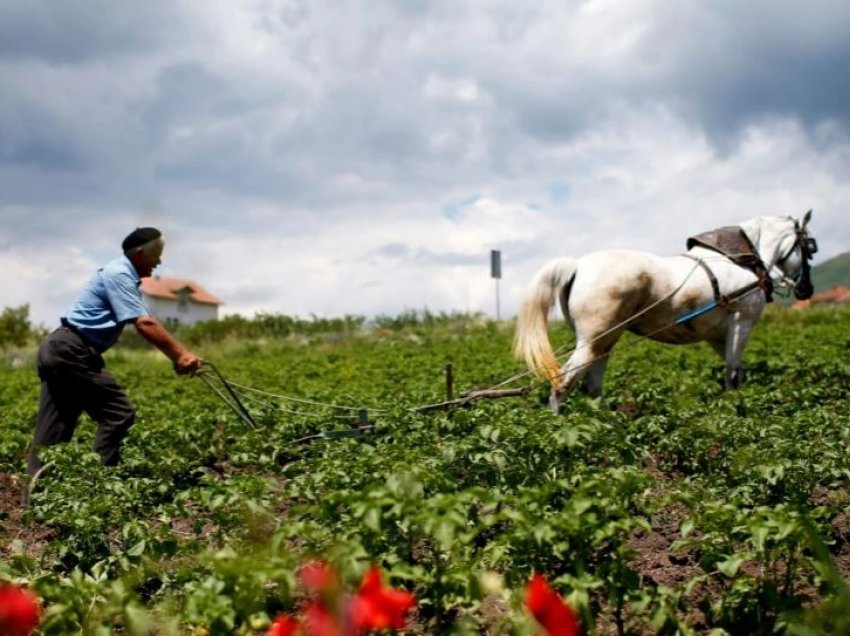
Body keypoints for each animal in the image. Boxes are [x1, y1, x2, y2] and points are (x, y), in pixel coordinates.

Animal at [510, 211, 816, 414]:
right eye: (809, 247)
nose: (807, 289)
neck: (739, 261)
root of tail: (577, 265)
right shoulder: (743, 322)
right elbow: (733, 374)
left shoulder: (718, 335)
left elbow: (737, 370)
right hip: (594, 339)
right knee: (562, 383)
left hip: (604, 340)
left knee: (591, 386)